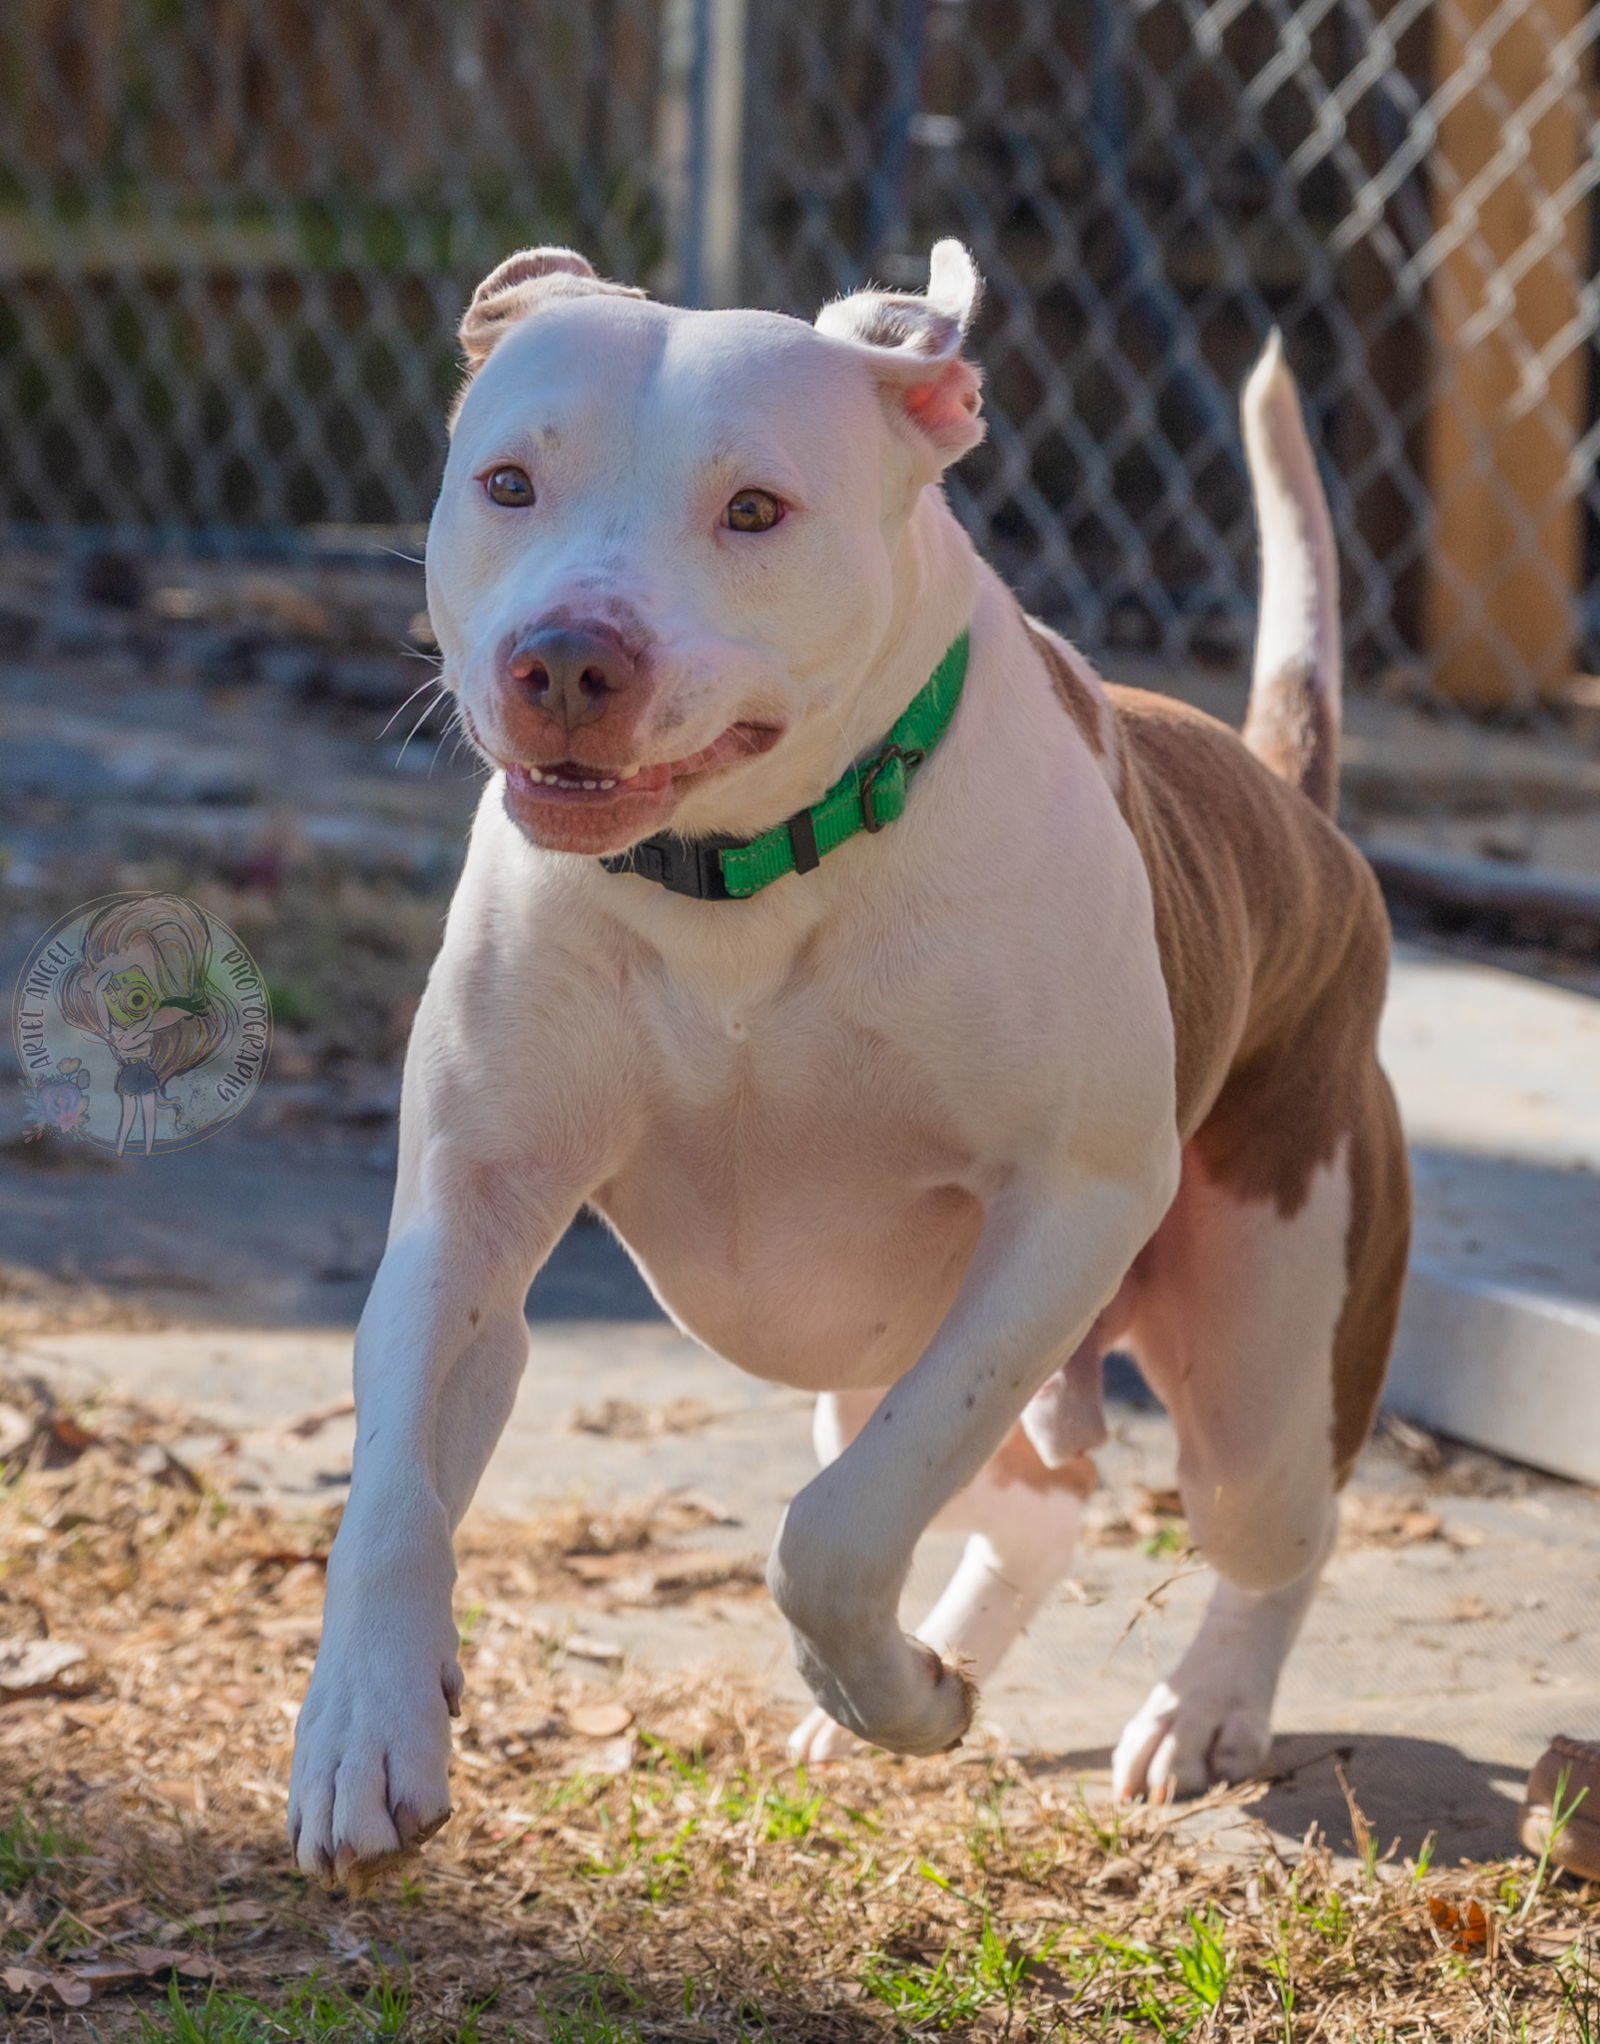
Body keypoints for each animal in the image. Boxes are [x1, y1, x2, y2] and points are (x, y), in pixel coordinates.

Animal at [290, 239, 1414, 1880]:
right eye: (508, 484)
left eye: (756, 510)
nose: (565, 659)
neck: (742, 878)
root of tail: (1294, 809)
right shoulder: (473, 1201)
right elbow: (390, 1480)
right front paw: (365, 1724)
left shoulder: (1067, 1206)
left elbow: (832, 1531)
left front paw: (893, 1685)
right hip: (908, 1349)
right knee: (1039, 1499)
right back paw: (931, 1675)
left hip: (1263, 1353)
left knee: (1274, 1531)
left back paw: (1200, 1711)